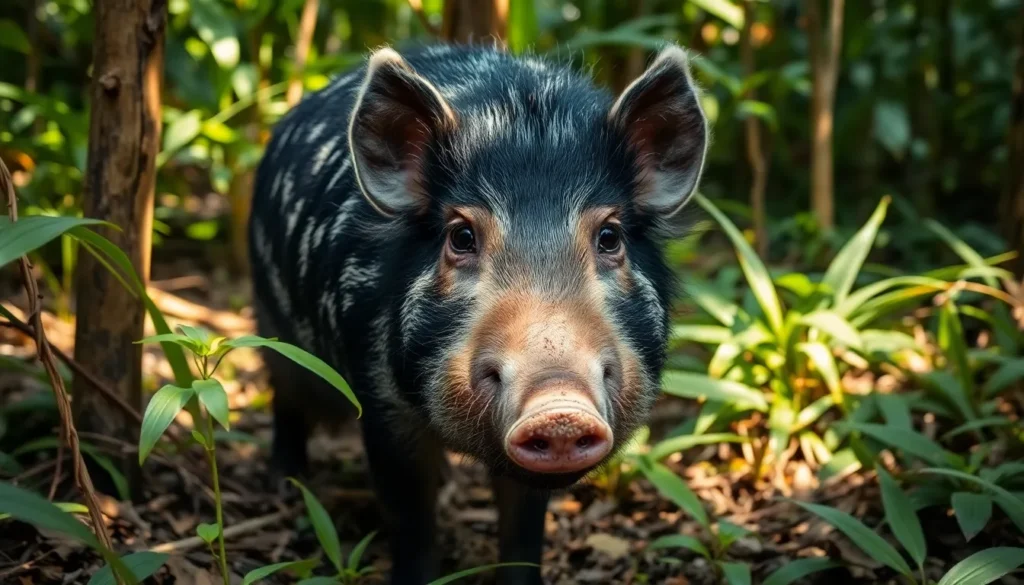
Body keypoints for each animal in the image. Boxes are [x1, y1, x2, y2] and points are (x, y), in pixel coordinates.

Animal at [249, 41, 708, 585]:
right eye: (462, 236)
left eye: (610, 236)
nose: (559, 406)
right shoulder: (380, 396)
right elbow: (409, 514)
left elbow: (523, 527)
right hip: (269, 321)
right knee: (285, 397)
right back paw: (282, 483)